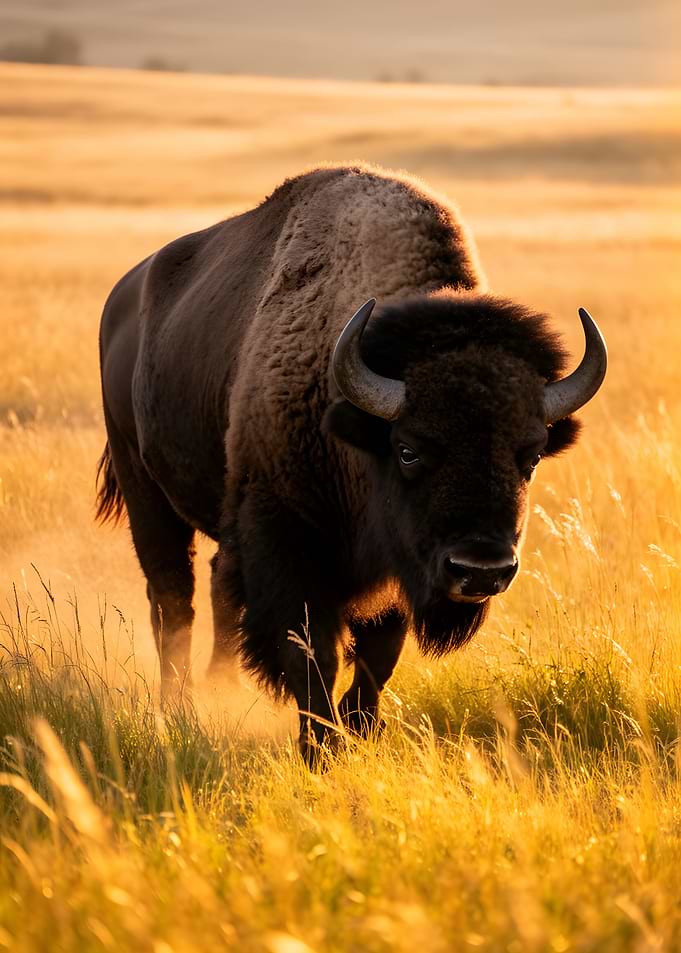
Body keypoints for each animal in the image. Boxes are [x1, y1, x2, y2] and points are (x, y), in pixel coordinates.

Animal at [97, 164, 607, 763]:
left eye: (530, 456)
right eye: (409, 450)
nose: (481, 570)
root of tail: (123, 297)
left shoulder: (398, 571)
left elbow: (376, 658)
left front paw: (356, 732)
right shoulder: (288, 542)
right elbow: (311, 653)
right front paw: (317, 747)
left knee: (217, 590)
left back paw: (222, 687)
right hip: (144, 488)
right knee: (173, 600)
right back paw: (179, 708)